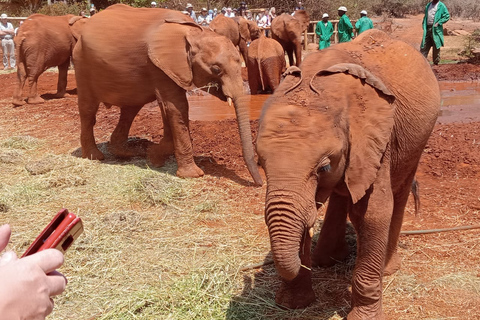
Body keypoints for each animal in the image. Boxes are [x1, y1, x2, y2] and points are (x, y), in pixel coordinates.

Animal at [72, 4, 262, 185]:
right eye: (216, 69)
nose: (259, 183)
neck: (194, 32)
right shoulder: (159, 65)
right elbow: (177, 107)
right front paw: (191, 174)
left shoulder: (168, 68)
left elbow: (170, 108)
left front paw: (153, 155)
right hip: (81, 63)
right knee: (89, 110)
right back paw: (95, 156)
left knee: (130, 109)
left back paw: (126, 152)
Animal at [256, 28, 440, 318]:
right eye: (260, 164)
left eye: (323, 168)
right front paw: (293, 304)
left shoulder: (377, 139)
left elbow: (372, 213)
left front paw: (362, 315)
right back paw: (327, 259)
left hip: (418, 139)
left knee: (398, 192)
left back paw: (386, 269)